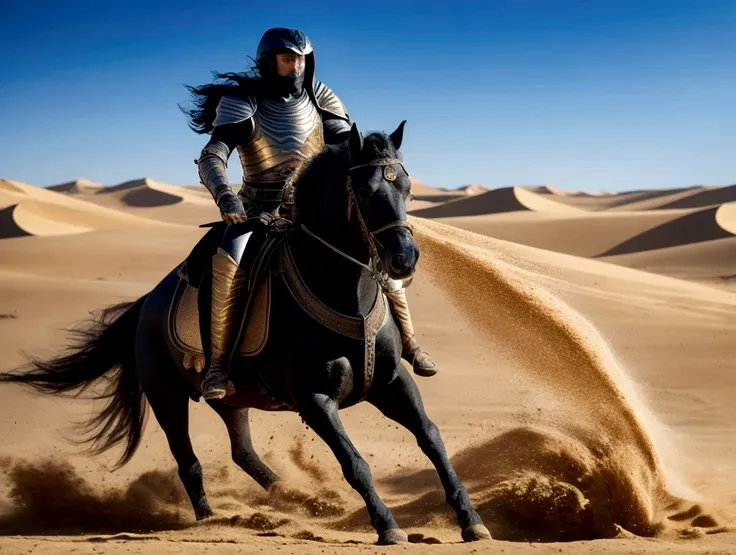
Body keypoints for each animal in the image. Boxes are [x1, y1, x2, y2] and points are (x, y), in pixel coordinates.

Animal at [4, 122, 494, 548]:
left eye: (407, 189)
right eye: (368, 191)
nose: (404, 258)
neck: (343, 292)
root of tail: (146, 304)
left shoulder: (392, 382)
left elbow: (432, 438)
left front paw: (472, 520)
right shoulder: (314, 400)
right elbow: (355, 462)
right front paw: (387, 526)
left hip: (232, 399)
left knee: (242, 451)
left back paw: (292, 500)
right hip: (166, 396)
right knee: (188, 462)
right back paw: (211, 520)